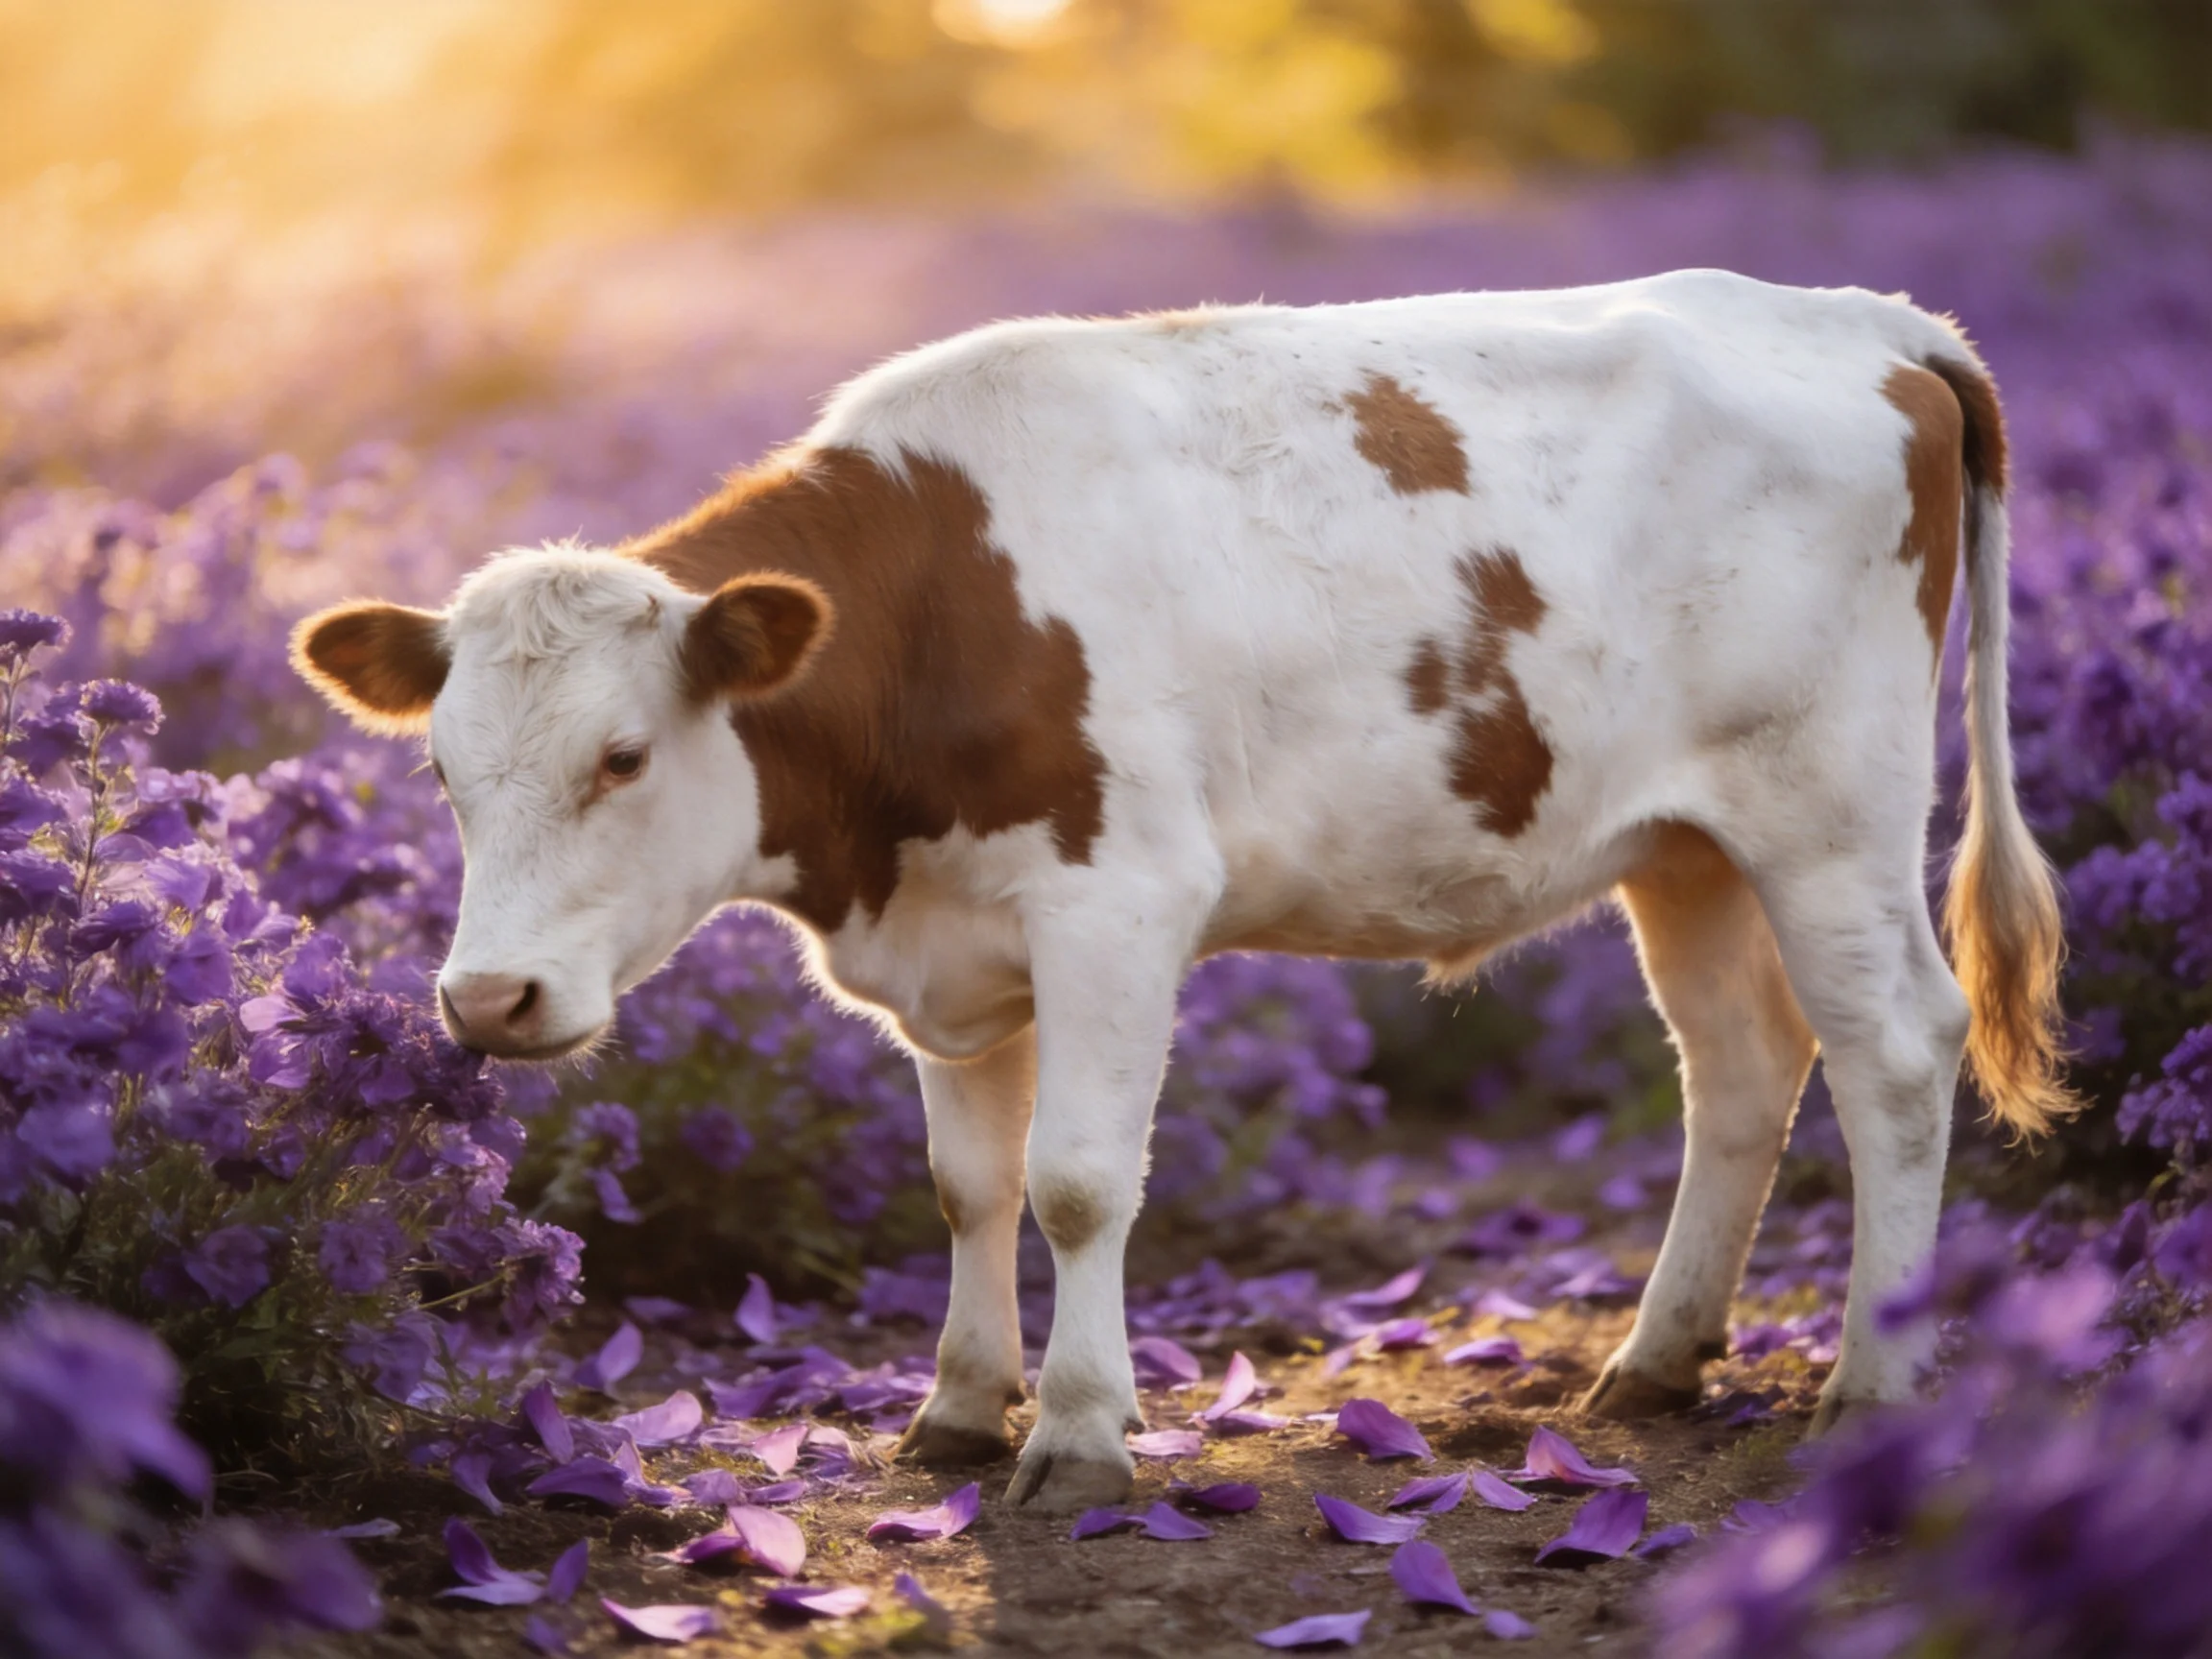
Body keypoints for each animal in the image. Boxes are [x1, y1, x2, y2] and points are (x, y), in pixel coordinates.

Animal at [292, 269, 2072, 1511]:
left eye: (621, 758)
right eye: (444, 773)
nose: (486, 998)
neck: (935, 608)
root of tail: (1860, 317)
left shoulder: (1116, 903)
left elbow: (1078, 1182)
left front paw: (1079, 1434)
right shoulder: (952, 948)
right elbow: (968, 1185)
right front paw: (955, 1410)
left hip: (1829, 810)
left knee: (1893, 1053)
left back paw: (1871, 1377)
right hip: (1686, 845)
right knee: (1740, 1068)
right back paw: (1653, 1361)